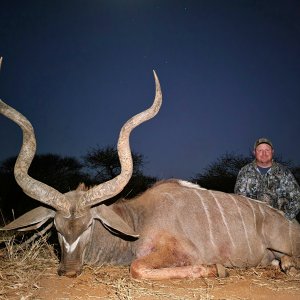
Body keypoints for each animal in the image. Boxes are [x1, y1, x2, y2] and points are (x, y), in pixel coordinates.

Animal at [0, 72, 300, 278]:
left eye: (88, 225)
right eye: (57, 228)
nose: (68, 271)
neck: (137, 220)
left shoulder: (181, 253)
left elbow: (137, 268)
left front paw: (216, 269)